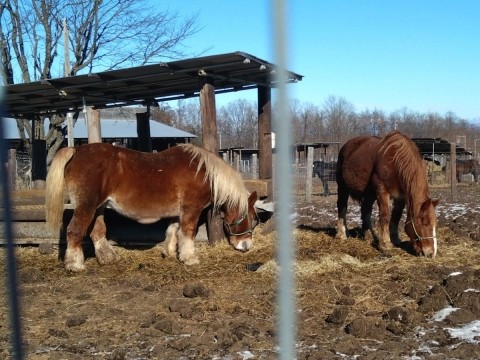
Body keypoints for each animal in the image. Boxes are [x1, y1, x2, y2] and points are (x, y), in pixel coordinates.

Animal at [46, 142, 256, 272]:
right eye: (253, 219)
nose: (246, 246)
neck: (204, 172)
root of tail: (76, 150)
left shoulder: (177, 213)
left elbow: (173, 230)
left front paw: (169, 252)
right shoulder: (191, 209)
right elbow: (188, 232)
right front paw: (189, 257)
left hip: (98, 207)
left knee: (97, 231)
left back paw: (107, 257)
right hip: (86, 205)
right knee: (75, 231)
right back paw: (75, 264)